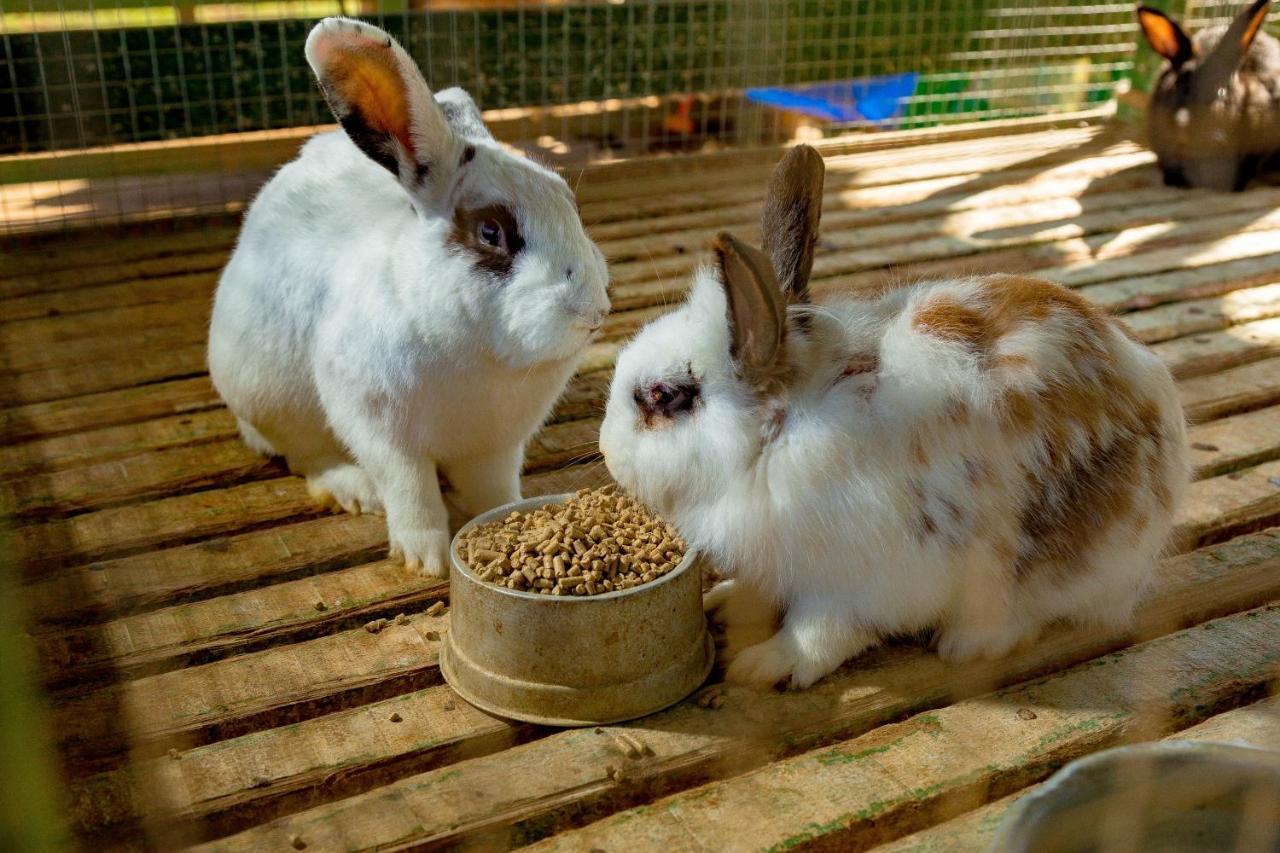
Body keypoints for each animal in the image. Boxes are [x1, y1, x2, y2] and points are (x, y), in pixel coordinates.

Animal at [209, 18, 609, 578]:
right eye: (490, 233)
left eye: (570, 204)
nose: (594, 312)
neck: (478, 356)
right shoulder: (382, 432)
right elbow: (411, 491)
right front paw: (428, 560)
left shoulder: (497, 445)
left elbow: (492, 490)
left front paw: (507, 518)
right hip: (270, 398)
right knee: (309, 457)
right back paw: (353, 489)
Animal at [599, 144, 1187, 691]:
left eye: (665, 397)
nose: (606, 449)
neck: (779, 439)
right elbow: (759, 593)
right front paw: (724, 603)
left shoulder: (862, 584)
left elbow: (818, 633)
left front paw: (764, 666)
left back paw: (968, 644)